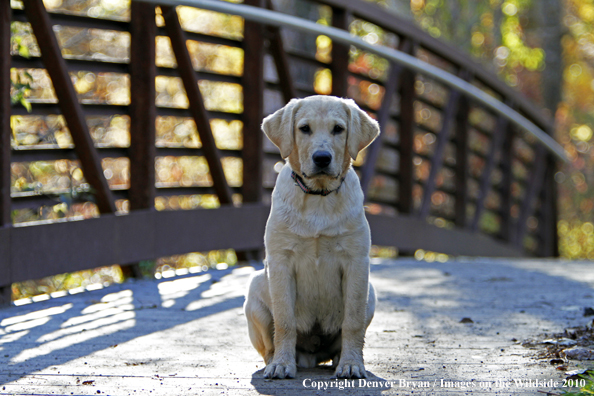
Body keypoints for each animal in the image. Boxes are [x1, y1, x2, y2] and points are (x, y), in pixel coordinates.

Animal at [243, 94, 376, 378]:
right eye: (304, 128)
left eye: (338, 129)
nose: (322, 158)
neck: (318, 196)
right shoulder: (280, 262)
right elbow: (284, 321)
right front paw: (282, 364)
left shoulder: (356, 263)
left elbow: (352, 322)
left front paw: (351, 363)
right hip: (256, 290)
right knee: (269, 344)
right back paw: (275, 361)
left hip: (370, 292)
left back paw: (338, 359)